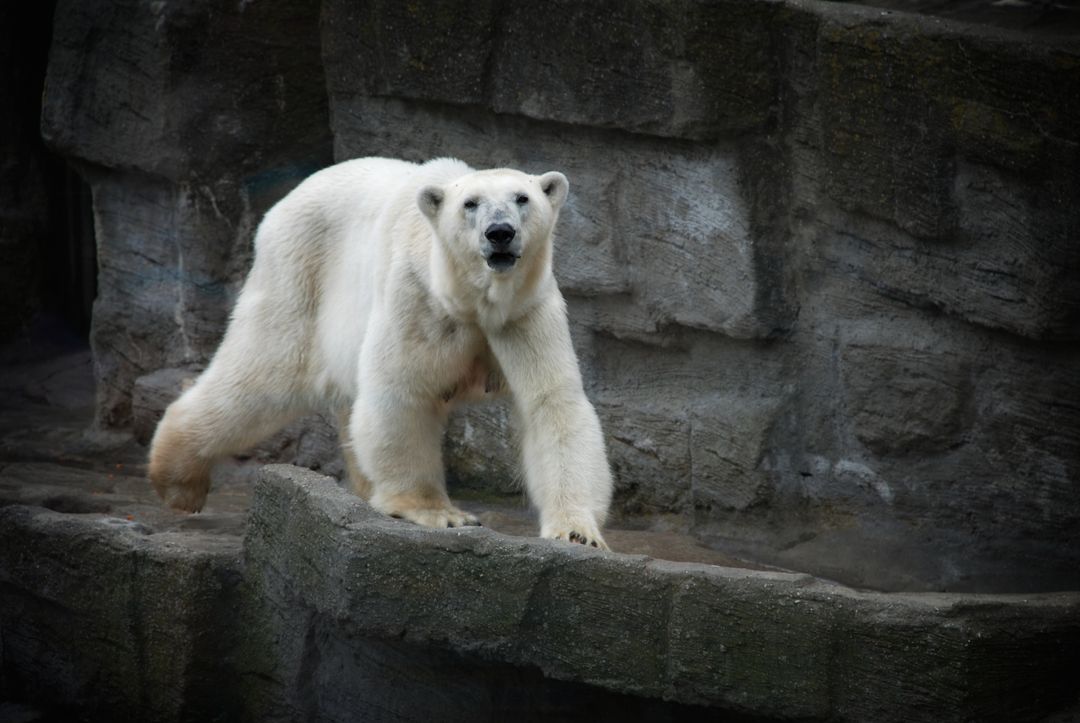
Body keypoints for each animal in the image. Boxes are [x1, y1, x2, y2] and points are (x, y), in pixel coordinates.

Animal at [149, 157, 614, 548]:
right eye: (470, 203)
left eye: (523, 198)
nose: (500, 232)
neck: (469, 300)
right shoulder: (417, 298)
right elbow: (401, 393)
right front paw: (440, 513)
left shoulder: (525, 313)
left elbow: (552, 404)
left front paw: (577, 533)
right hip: (298, 275)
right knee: (262, 375)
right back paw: (179, 482)